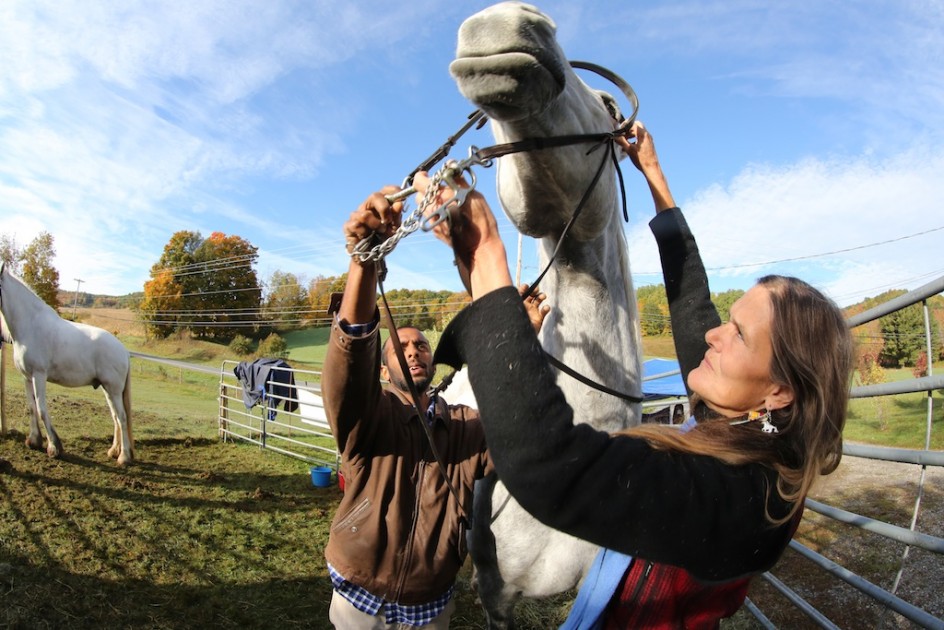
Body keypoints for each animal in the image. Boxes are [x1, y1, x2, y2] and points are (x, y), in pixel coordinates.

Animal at [0, 262, 135, 464]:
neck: (30, 325)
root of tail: (123, 351)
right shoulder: (26, 377)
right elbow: (31, 407)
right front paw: (34, 441)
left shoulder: (39, 375)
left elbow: (41, 409)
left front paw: (54, 447)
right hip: (108, 390)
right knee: (116, 417)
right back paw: (113, 451)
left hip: (113, 389)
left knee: (122, 417)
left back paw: (124, 457)